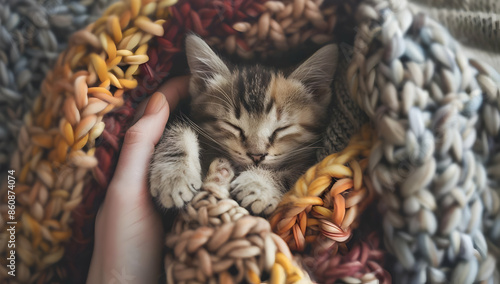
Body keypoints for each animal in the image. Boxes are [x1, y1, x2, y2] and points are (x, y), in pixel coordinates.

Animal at [146, 34, 338, 214]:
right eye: (233, 126)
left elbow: (299, 179)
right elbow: (179, 127)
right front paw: (173, 176)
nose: (256, 156)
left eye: (281, 129)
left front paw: (258, 184)